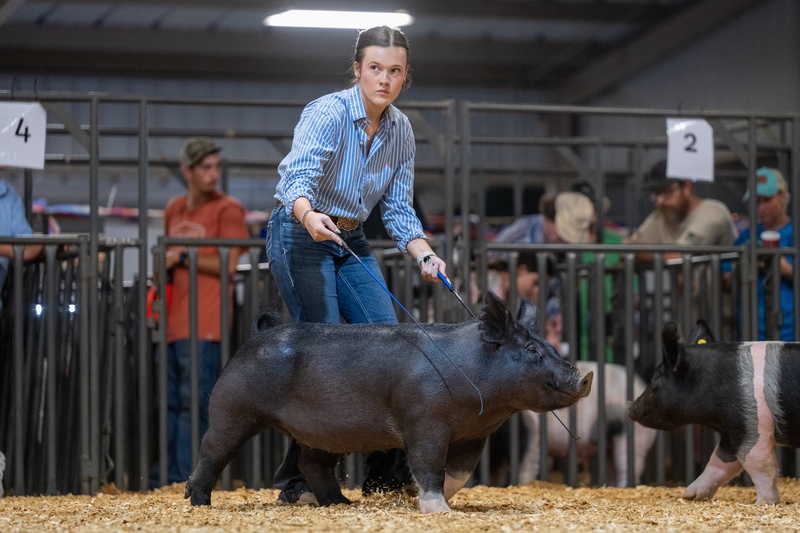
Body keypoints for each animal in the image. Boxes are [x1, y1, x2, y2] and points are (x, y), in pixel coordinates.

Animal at [184, 292, 593, 513]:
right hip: (232, 408)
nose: (585, 377)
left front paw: (430, 500)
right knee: (212, 449)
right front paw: (436, 508)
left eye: (549, 347)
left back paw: (341, 503)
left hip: (318, 432)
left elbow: (459, 473)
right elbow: (429, 464)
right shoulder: (424, 421)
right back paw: (198, 502)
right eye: (532, 351)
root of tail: (256, 337)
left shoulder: (475, 435)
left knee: (312, 463)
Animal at [518, 361, 657, 488]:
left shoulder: (531, 435)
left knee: (627, 466)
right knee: (613, 469)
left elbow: (527, 463)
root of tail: (641, 385)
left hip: (633, 437)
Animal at [627, 320, 800, 504]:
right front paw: (689, 495)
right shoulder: (730, 433)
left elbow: (756, 461)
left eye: (657, 377)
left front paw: (762, 503)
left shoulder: (750, 423)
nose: (630, 408)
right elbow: (719, 462)